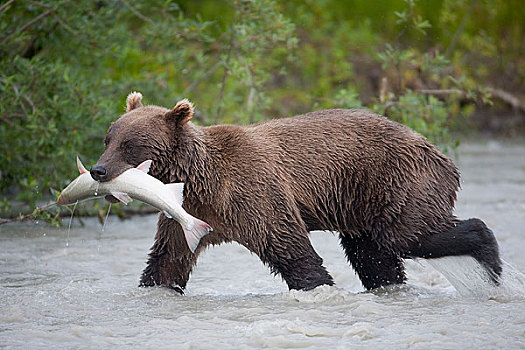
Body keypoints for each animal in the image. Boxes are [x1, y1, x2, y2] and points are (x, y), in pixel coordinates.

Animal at [89, 92, 500, 292]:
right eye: (109, 138)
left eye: (131, 146)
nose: (98, 170)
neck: (200, 181)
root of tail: (438, 151)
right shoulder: (187, 214)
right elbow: (167, 261)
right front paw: (155, 286)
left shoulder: (251, 194)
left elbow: (291, 249)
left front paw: (317, 285)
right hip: (361, 205)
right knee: (374, 256)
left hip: (397, 180)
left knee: (408, 234)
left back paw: (489, 259)